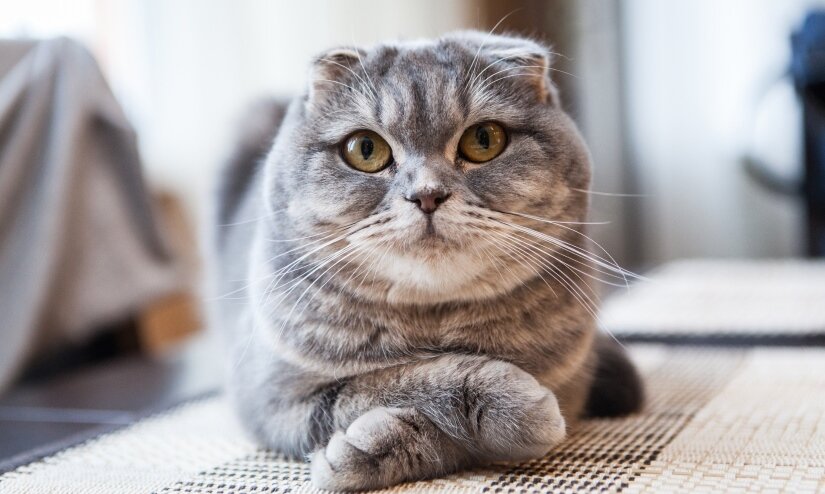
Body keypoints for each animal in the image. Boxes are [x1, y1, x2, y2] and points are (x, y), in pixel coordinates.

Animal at [208, 30, 644, 490]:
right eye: (365, 149)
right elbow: (387, 382)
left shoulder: (570, 382)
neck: (433, 329)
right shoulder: (270, 398)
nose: (427, 194)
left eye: (484, 139)